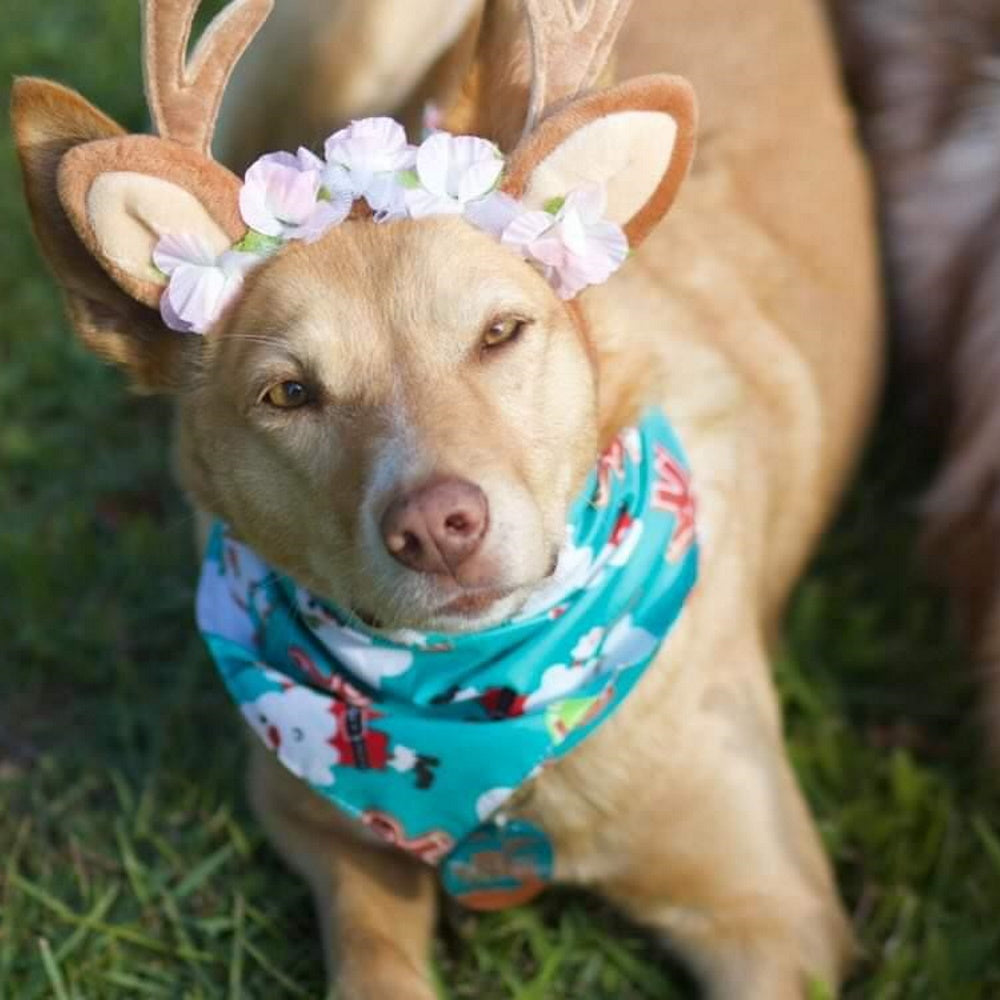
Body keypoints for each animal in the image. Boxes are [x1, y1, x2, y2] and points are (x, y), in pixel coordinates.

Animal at [11, 1, 880, 1000]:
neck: (478, 703)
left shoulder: (774, 913)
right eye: (288, 394)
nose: (436, 529)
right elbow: (375, 960)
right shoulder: (308, 820)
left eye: (500, 332)